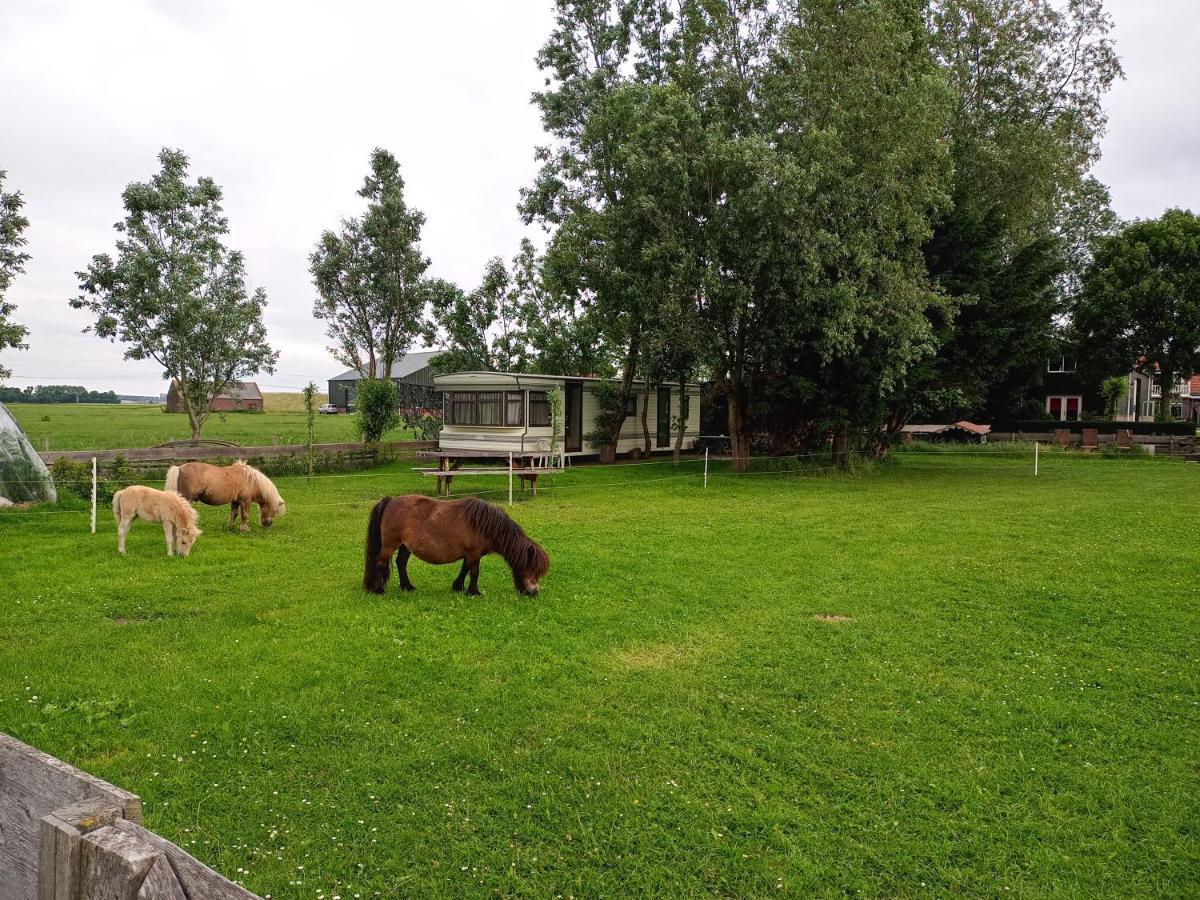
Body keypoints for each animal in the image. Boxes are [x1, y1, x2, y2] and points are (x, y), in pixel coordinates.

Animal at [362, 494, 549, 600]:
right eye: (530, 568)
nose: (534, 592)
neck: (484, 525)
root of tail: (390, 501)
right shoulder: (473, 553)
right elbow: (474, 572)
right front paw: (474, 592)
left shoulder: (470, 554)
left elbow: (465, 569)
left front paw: (458, 587)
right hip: (390, 545)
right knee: (380, 563)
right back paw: (378, 590)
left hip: (405, 546)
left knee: (401, 563)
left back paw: (407, 587)